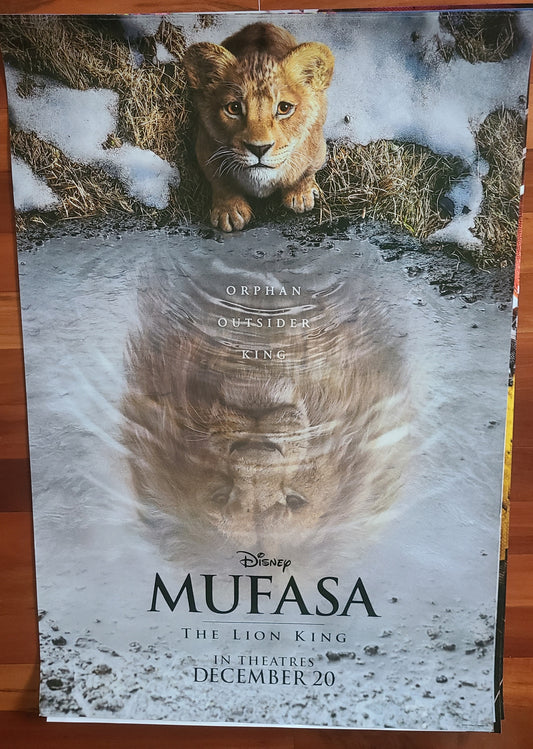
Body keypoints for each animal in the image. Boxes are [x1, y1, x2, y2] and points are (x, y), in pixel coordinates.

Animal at [182, 23, 334, 232]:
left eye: (284, 108)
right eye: (234, 108)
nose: (259, 149)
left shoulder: (317, 148)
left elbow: (307, 172)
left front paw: (301, 195)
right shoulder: (205, 146)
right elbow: (219, 180)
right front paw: (229, 211)